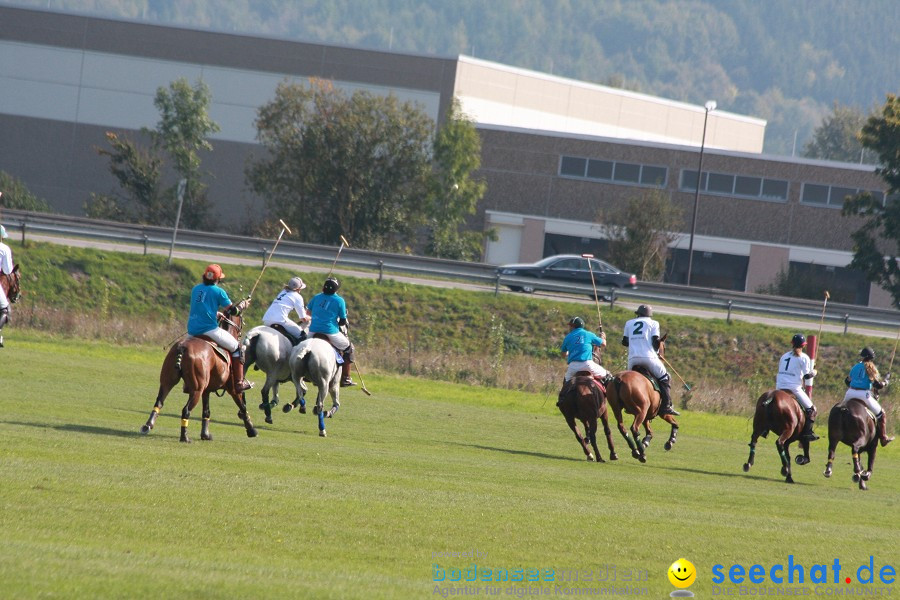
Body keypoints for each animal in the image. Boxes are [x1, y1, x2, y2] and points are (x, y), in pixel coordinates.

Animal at [141, 312, 258, 442]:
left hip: (168, 381)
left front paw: (205, 434)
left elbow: (206, 411)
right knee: (186, 410)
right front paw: (251, 430)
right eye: (242, 318)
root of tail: (182, 347)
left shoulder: (206, 391)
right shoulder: (233, 389)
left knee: (159, 402)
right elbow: (243, 406)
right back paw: (184, 437)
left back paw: (148, 425)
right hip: (197, 389)